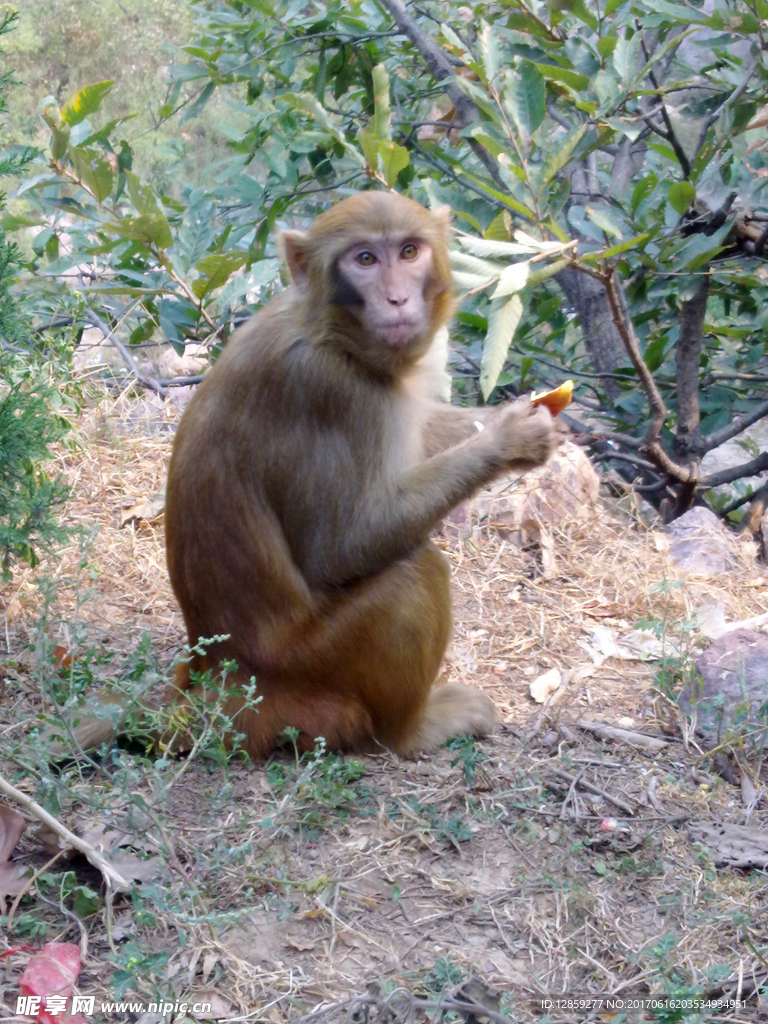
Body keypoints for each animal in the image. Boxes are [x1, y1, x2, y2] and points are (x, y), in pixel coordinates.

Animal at [159, 192, 561, 765]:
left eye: (409, 251)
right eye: (365, 259)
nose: (396, 299)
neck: (330, 331)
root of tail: (214, 677)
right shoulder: (330, 392)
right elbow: (338, 550)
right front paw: (508, 441)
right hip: (313, 667)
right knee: (415, 573)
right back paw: (412, 729)